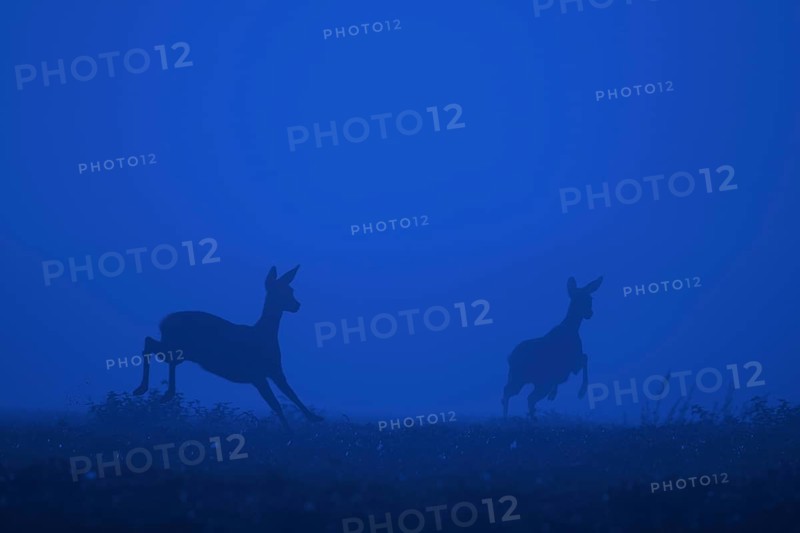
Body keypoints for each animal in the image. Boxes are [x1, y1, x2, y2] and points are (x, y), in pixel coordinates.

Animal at [132, 265, 323, 432]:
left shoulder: (275, 370)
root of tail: (163, 322)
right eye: (284, 291)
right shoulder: (257, 374)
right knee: (149, 344)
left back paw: (163, 393)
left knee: (157, 350)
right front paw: (290, 431)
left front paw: (314, 418)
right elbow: (276, 404)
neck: (264, 335)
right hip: (178, 346)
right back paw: (146, 389)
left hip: (180, 350)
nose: (297, 305)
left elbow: (291, 394)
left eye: (291, 290)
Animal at [502, 276, 603, 418]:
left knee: (514, 393)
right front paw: (581, 392)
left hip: (521, 378)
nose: (590, 313)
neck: (572, 328)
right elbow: (585, 357)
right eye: (577, 298)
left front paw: (554, 393)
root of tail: (510, 358)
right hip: (532, 379)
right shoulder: (573, 363)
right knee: (524, 396)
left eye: (590, 298)